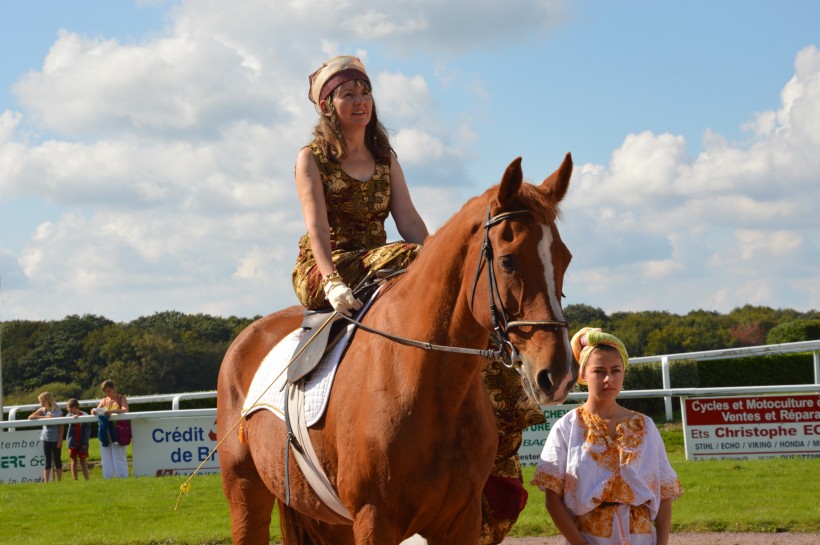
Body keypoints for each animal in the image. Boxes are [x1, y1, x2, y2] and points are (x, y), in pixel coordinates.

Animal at [218, 154, 576, 544]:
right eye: (508, 261)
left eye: (565, 259)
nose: (558, 374)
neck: (427, 383)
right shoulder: (374, 519)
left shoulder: (462, 519)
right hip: (246, 493)